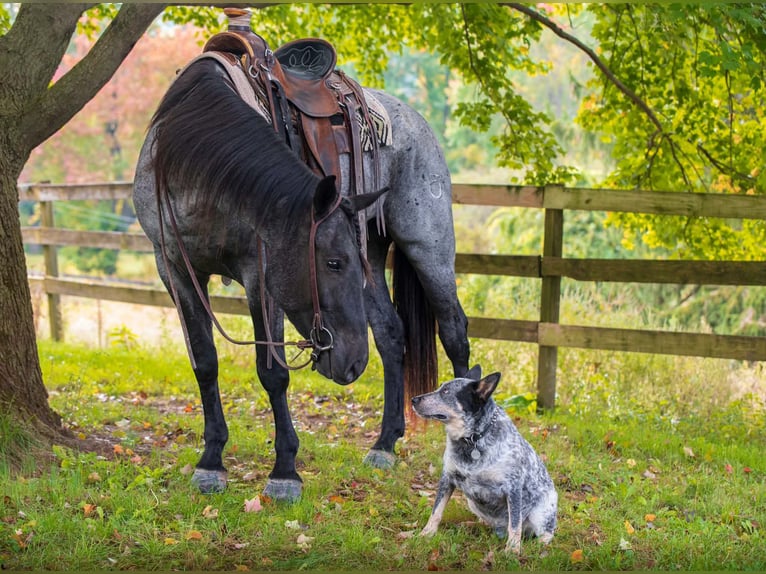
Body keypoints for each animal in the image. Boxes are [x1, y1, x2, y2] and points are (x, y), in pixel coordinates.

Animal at [133, 43, 470, 502]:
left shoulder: (261, 276)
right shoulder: (174, 269)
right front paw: (211, 460)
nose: (352, 364)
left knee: (454, 331)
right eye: (334, 263)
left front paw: (284, 471)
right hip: (374, 251)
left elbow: (272, 373)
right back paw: (384, 443)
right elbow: (204, 362)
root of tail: (417, 122)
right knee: (390, 335)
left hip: (427, 246)